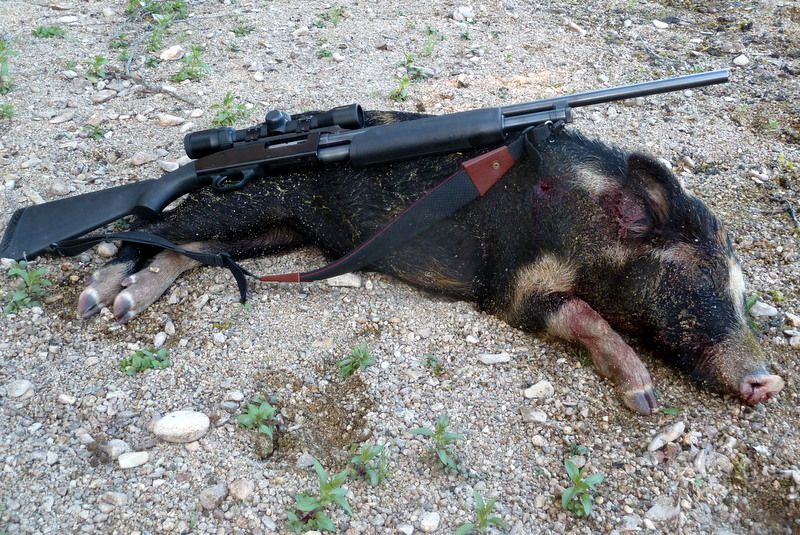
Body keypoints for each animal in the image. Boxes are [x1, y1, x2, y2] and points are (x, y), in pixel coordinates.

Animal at [76, 110, 784, 415]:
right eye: (694, 275)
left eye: (742, 292)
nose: (770, 381)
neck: (582, 222)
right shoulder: (513, 288)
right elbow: (583, 315)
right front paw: (643, 398)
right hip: (243, 203)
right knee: (151, 228)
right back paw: (96, 297)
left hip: (274, 229)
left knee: (191, 253)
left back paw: (124, 303)